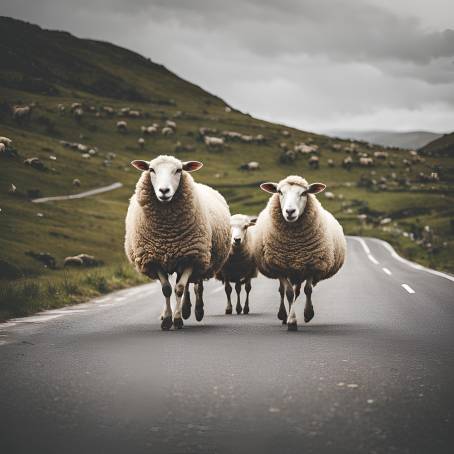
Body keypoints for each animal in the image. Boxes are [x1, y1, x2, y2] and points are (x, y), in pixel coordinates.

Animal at [124, 155, 231, 330]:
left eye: (179, 170)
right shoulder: (154, 259)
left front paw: (178, 319)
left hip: (200, 257)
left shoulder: (191, 257)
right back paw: (183, 309)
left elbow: (179, 288)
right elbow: (167, 289)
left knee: (196, 285)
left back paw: (196, 311)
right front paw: (167, 319)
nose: (164, 191)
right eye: (151, 170)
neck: (167, 235)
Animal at [254, 175, 346, 330]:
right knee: (282, 291)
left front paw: (308, 314)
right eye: (280, 192)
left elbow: (307, 290)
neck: (294, 247)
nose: (290, 211)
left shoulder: (312, 264)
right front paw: (291, 321)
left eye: (304, 193)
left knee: (297, 291)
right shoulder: (280, 267)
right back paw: (283, 315)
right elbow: (288, 293)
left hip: (298, 270)